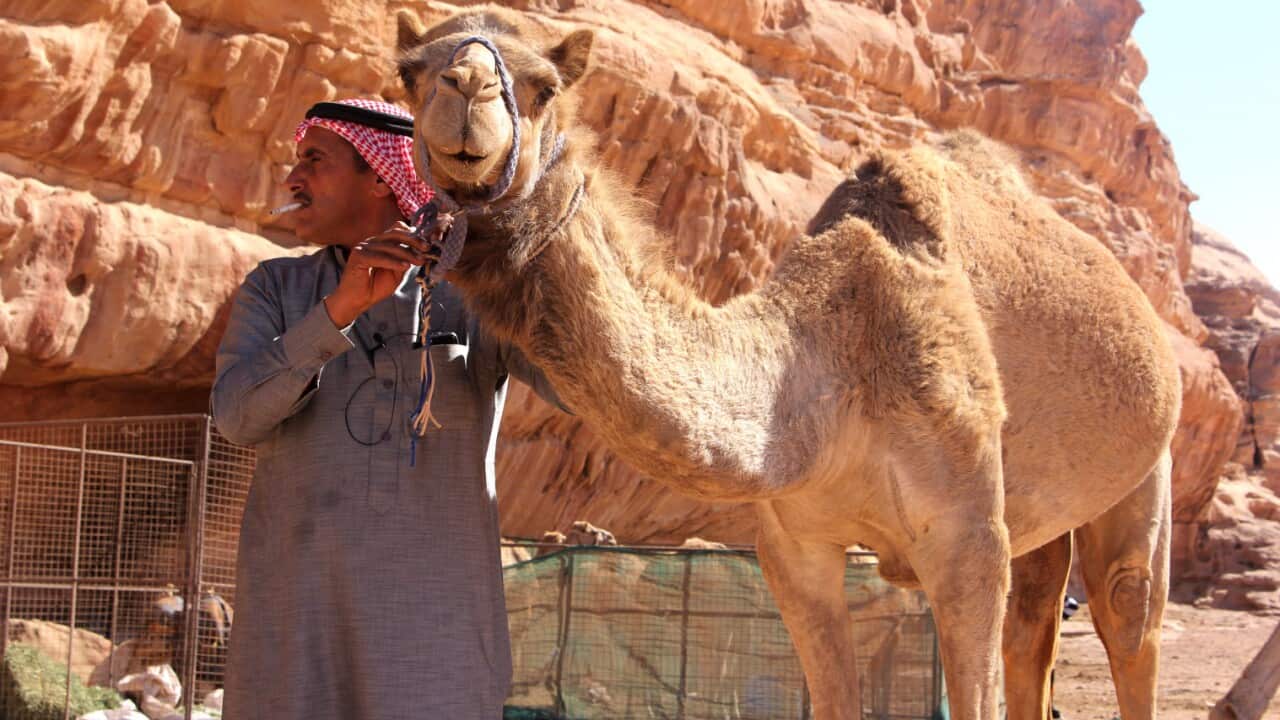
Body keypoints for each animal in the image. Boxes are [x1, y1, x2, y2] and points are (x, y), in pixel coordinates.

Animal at [394, 9, 1180, 720]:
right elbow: (833, 695)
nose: (466, 91)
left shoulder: (967, 539)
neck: (828, 375)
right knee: (1035, 621)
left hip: (1147, 466)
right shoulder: (793, 547)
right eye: (410, 72)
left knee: (1126, 607)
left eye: (545, 86)